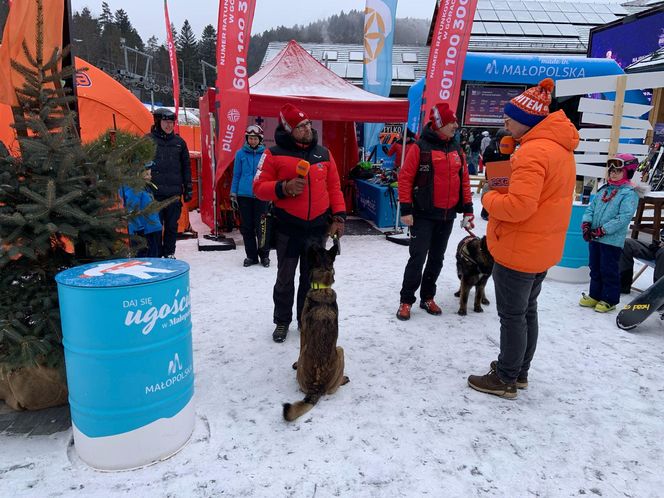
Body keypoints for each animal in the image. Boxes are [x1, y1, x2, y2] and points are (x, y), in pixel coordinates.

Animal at [282, 243, 350, 422]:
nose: (310, 243)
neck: (323, 289)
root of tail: (316, 386)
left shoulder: (303, 334)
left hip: (340, 349)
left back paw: (343, 379)